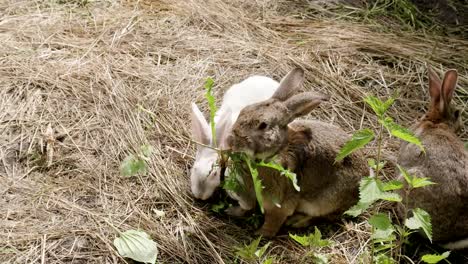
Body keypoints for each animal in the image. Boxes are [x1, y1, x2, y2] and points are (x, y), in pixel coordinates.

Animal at [225, 68, 368, 237]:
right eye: (244, 110)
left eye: (263, 125)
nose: (230, 141)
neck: (279, 149)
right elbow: (246, 207)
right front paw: (232, 212)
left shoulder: (279, 203)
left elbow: (273, 220)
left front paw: (261, 234)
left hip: (324, 202)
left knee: (324, 216)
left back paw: (297, 221)